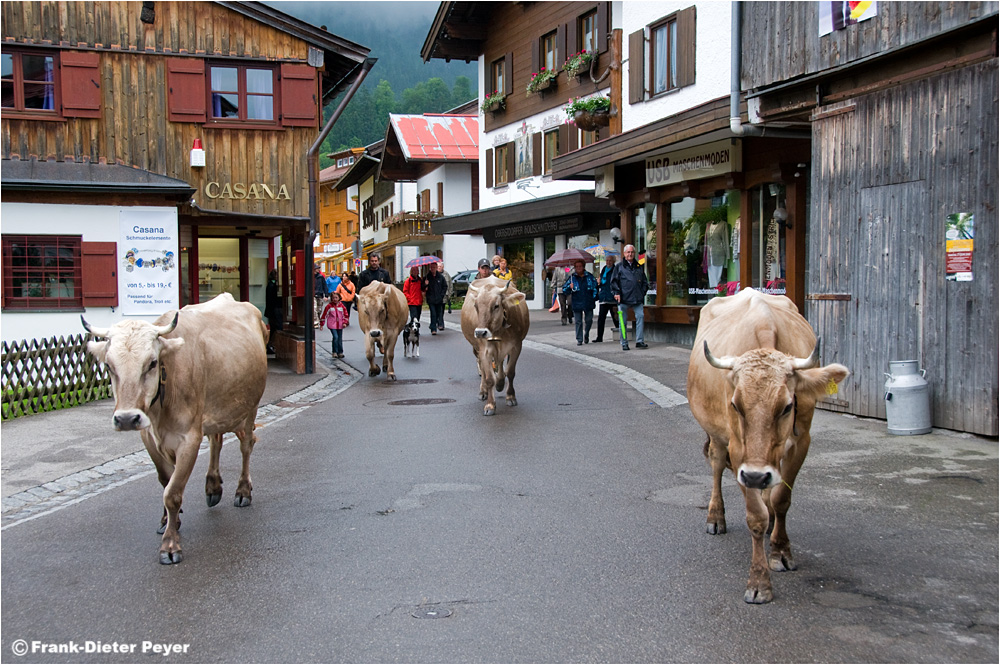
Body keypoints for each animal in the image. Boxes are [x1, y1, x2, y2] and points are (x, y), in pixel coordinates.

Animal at [83, 294, 270, 564]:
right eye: (109, 365)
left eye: (152, 363)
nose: (126, 419)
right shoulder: (148, 436)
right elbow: (165, 480)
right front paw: (167, 521)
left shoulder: (188, 439)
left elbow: (173, 492)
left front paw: (170, 545)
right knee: (216, 440)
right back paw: (213, 486)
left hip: (249, 407)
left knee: (246, 445)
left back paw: (243, 490)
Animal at [688, 288, 852, 604]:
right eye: (735, 405)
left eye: (787, 406)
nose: (755, 475)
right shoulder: (739, 451)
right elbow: (755, 517)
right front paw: (759, 582)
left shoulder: (801, 442)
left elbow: (781, 499)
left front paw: (781, 550)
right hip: (717, 436)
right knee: (716, 465)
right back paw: (716, 517)